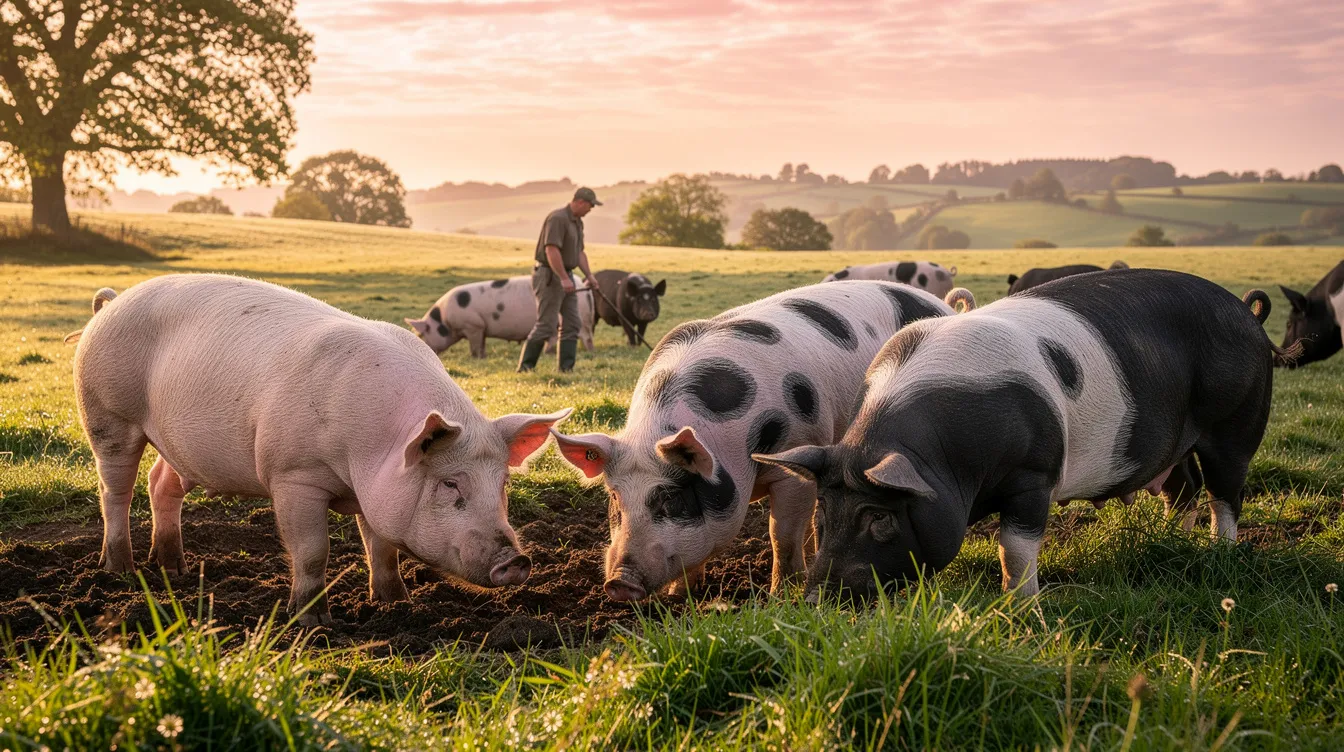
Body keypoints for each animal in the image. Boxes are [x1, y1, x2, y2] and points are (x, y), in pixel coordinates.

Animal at [66, 274, 570, 625]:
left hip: (178, 445)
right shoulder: (293, 474)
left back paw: (175, 570)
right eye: (450, 483)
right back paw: (121, 571)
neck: (369, 452)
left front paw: (396, 604)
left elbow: (381, 547)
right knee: (115, 491)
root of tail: (112, 302)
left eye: (503, 484)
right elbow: (313, 550)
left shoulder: (377, 490)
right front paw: (313, 621)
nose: (517, 561)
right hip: (107, 415)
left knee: (161, 484)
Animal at [405, 275, 594, 357]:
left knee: (584, 336)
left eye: (422, 334)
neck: (444, 320)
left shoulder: (473, 325)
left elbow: (474, 345)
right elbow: (481, 343)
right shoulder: (481, 328)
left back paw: (587, 352)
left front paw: (475, 357)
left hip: (580, 317)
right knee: (555, 336)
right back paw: (549, 353)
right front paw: (483, 356)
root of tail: (583, 287)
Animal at [550, 282, 977, 601]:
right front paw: (679, 596)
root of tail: (943, 304)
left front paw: (779, 596)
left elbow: (780, 534)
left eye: (671, 499)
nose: (619, 582)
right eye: (614, 498)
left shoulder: (798, 457)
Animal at [756, 269, 1296, 602]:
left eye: (879, 517)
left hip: (1237, 421)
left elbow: (1013, 547)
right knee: (1183, 486)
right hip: (1176, 442)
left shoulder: (1035, 473)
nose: (819, 598)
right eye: (824, 511)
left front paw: (1020, 607)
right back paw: (1170, 540)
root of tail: (1246, 314)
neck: (949, 462)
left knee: (1225, 490)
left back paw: (1220, 550)